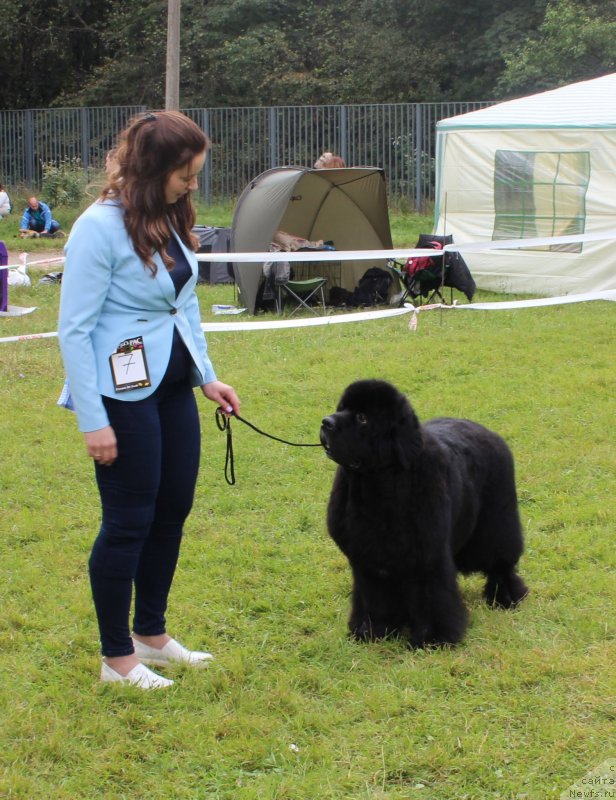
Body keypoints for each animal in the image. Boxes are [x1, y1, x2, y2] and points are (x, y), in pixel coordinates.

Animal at [320, 378, 528, 648]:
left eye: (362, 418)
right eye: (341, 408)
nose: (326, 422)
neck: (378, 483)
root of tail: (488, 432)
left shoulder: (426, 556)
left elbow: (430, 597)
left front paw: (433, 638)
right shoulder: (367, 560)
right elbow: (373, 596)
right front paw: (372, 630)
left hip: (496, 526)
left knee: (501, 563)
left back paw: (506, 597)